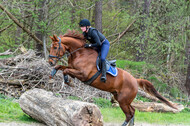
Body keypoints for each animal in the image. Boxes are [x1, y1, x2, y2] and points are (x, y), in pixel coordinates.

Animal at [48, 30, 177, 126]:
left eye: (55, 47)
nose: (50, 62)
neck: (80, 53)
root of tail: (135, 80)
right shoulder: (72, 68)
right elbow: (61, 67)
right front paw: (52, 74)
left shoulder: (83, 74)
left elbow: (65, 70)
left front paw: (68, 82)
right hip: (121, 98)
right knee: (133, 111)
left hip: (123, 100)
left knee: (129, 114)